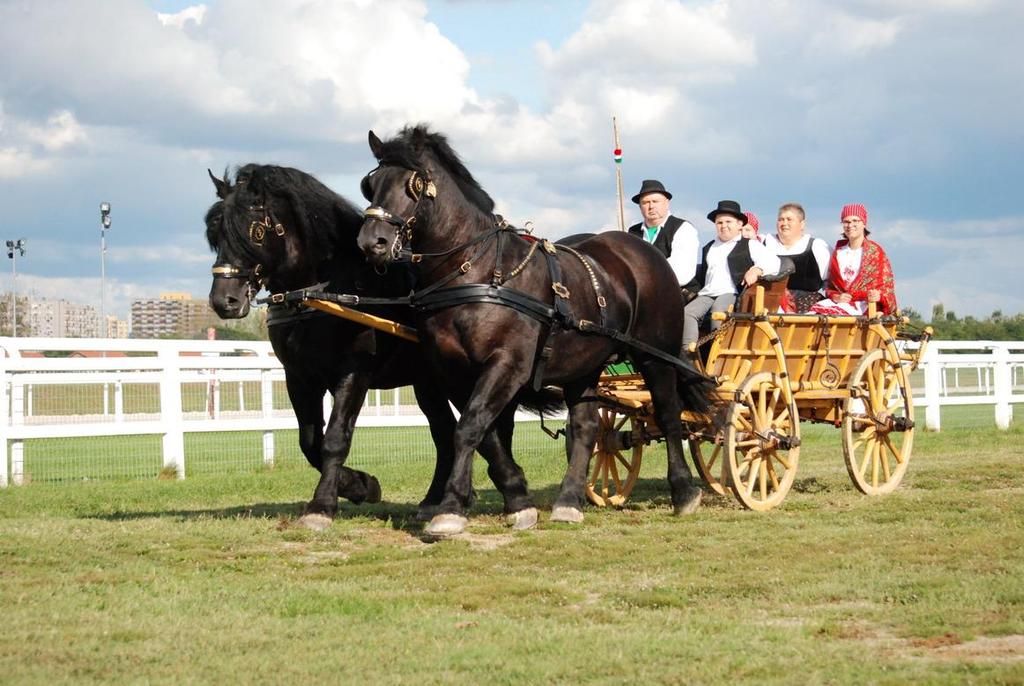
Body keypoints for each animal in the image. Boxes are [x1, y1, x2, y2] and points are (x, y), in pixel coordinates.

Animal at [201, 163, 536, 528]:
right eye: (215, 233)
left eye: (255, 231)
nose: (224, 301)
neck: (331, 290)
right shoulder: (299, 378)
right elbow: (310, 442)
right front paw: (360, 485)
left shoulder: (354, 372)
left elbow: (334, 440)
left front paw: (323, 505)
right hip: (430, 382)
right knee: (448, 431)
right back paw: (440, 498)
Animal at [356, 127, 716, 536]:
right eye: (371, 185)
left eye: (413, 184)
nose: (371, 242)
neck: (478, 271)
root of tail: (642, 250)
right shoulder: (453, 372)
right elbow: (485, 433)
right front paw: (517, 499)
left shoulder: (507, 364)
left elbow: (469, 427)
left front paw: (449, 509)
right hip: (584, 365)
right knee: (586, 427)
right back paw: (569, 501)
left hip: (655, 355)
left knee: (670, 415)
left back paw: (684, 492)